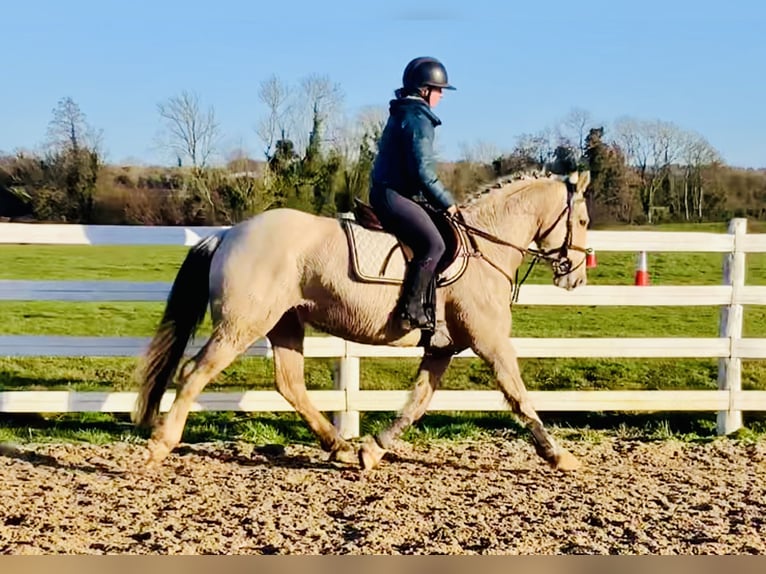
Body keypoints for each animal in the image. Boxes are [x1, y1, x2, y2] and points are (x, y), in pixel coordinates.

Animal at [132, 168, 592, 472]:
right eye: (584, 220)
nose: (576, 276)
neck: (485, 248)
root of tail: (228, 234)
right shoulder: (490, 340)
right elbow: (518, 396)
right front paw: (559, 455)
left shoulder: (443, 347)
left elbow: (417, 403)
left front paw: (372, 450)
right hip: (241, 326)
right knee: (194, 373)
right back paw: (160, 444)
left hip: (284, 324)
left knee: (290, 383)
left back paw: (338, 446)